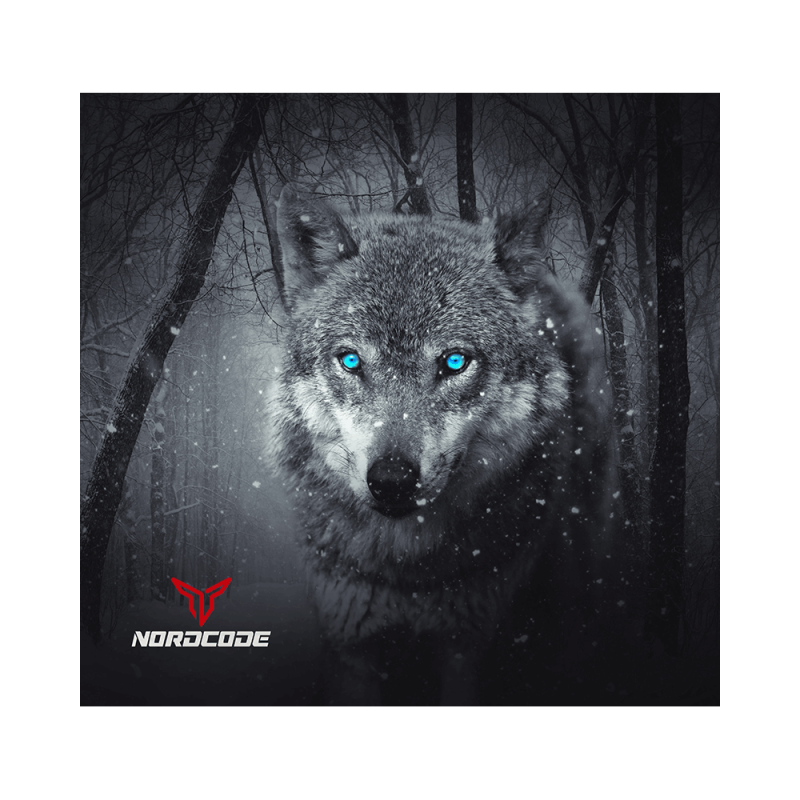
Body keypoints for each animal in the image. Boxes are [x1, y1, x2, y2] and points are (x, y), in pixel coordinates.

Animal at [268, 185, 609, 704]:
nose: (391, 480)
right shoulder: (352, 644)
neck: (408, 571)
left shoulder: (467, 644)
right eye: (351, 360)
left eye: (453, 362)